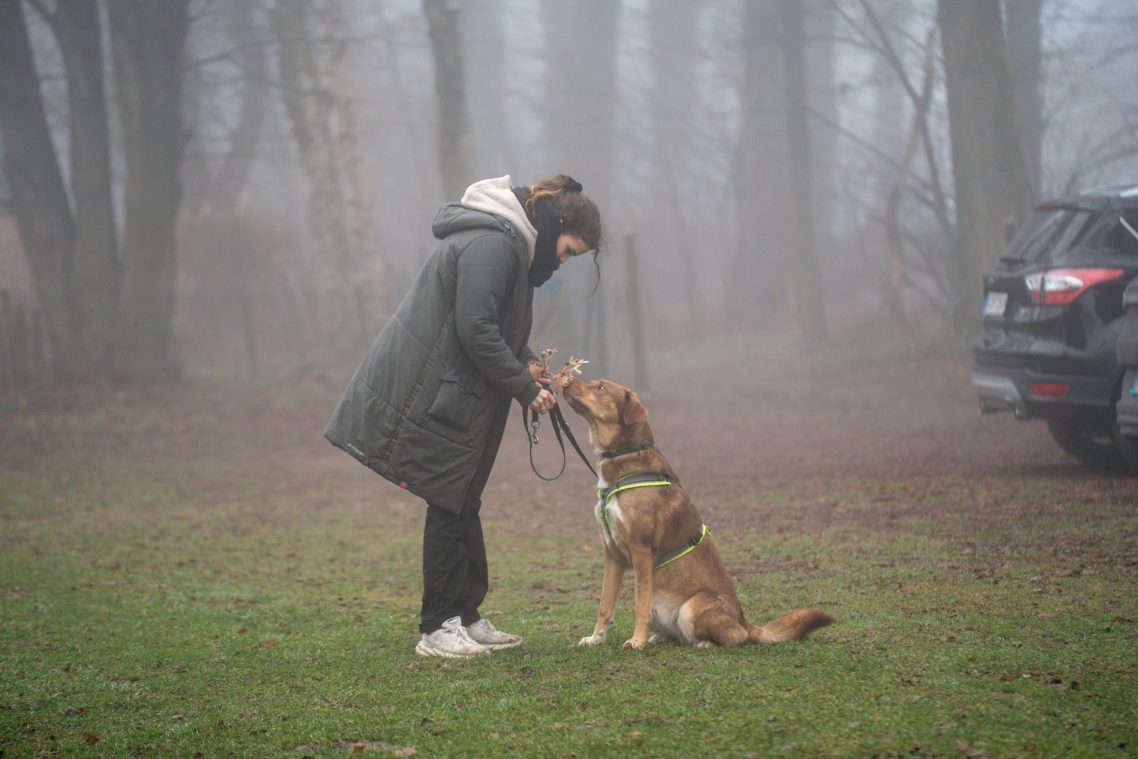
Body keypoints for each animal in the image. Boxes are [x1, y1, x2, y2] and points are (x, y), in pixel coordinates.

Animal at [562, 378, 834, 650]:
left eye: (600, 387)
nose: (566, 382)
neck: (625, 459)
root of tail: (743, 619)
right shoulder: (612, 554)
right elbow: (605, 605)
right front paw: (595, 639)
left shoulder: (640, 551)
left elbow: (640, 605)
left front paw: (637, 642)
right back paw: (659, 637)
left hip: (692, 608)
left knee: (735, 637)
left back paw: (701, 643)